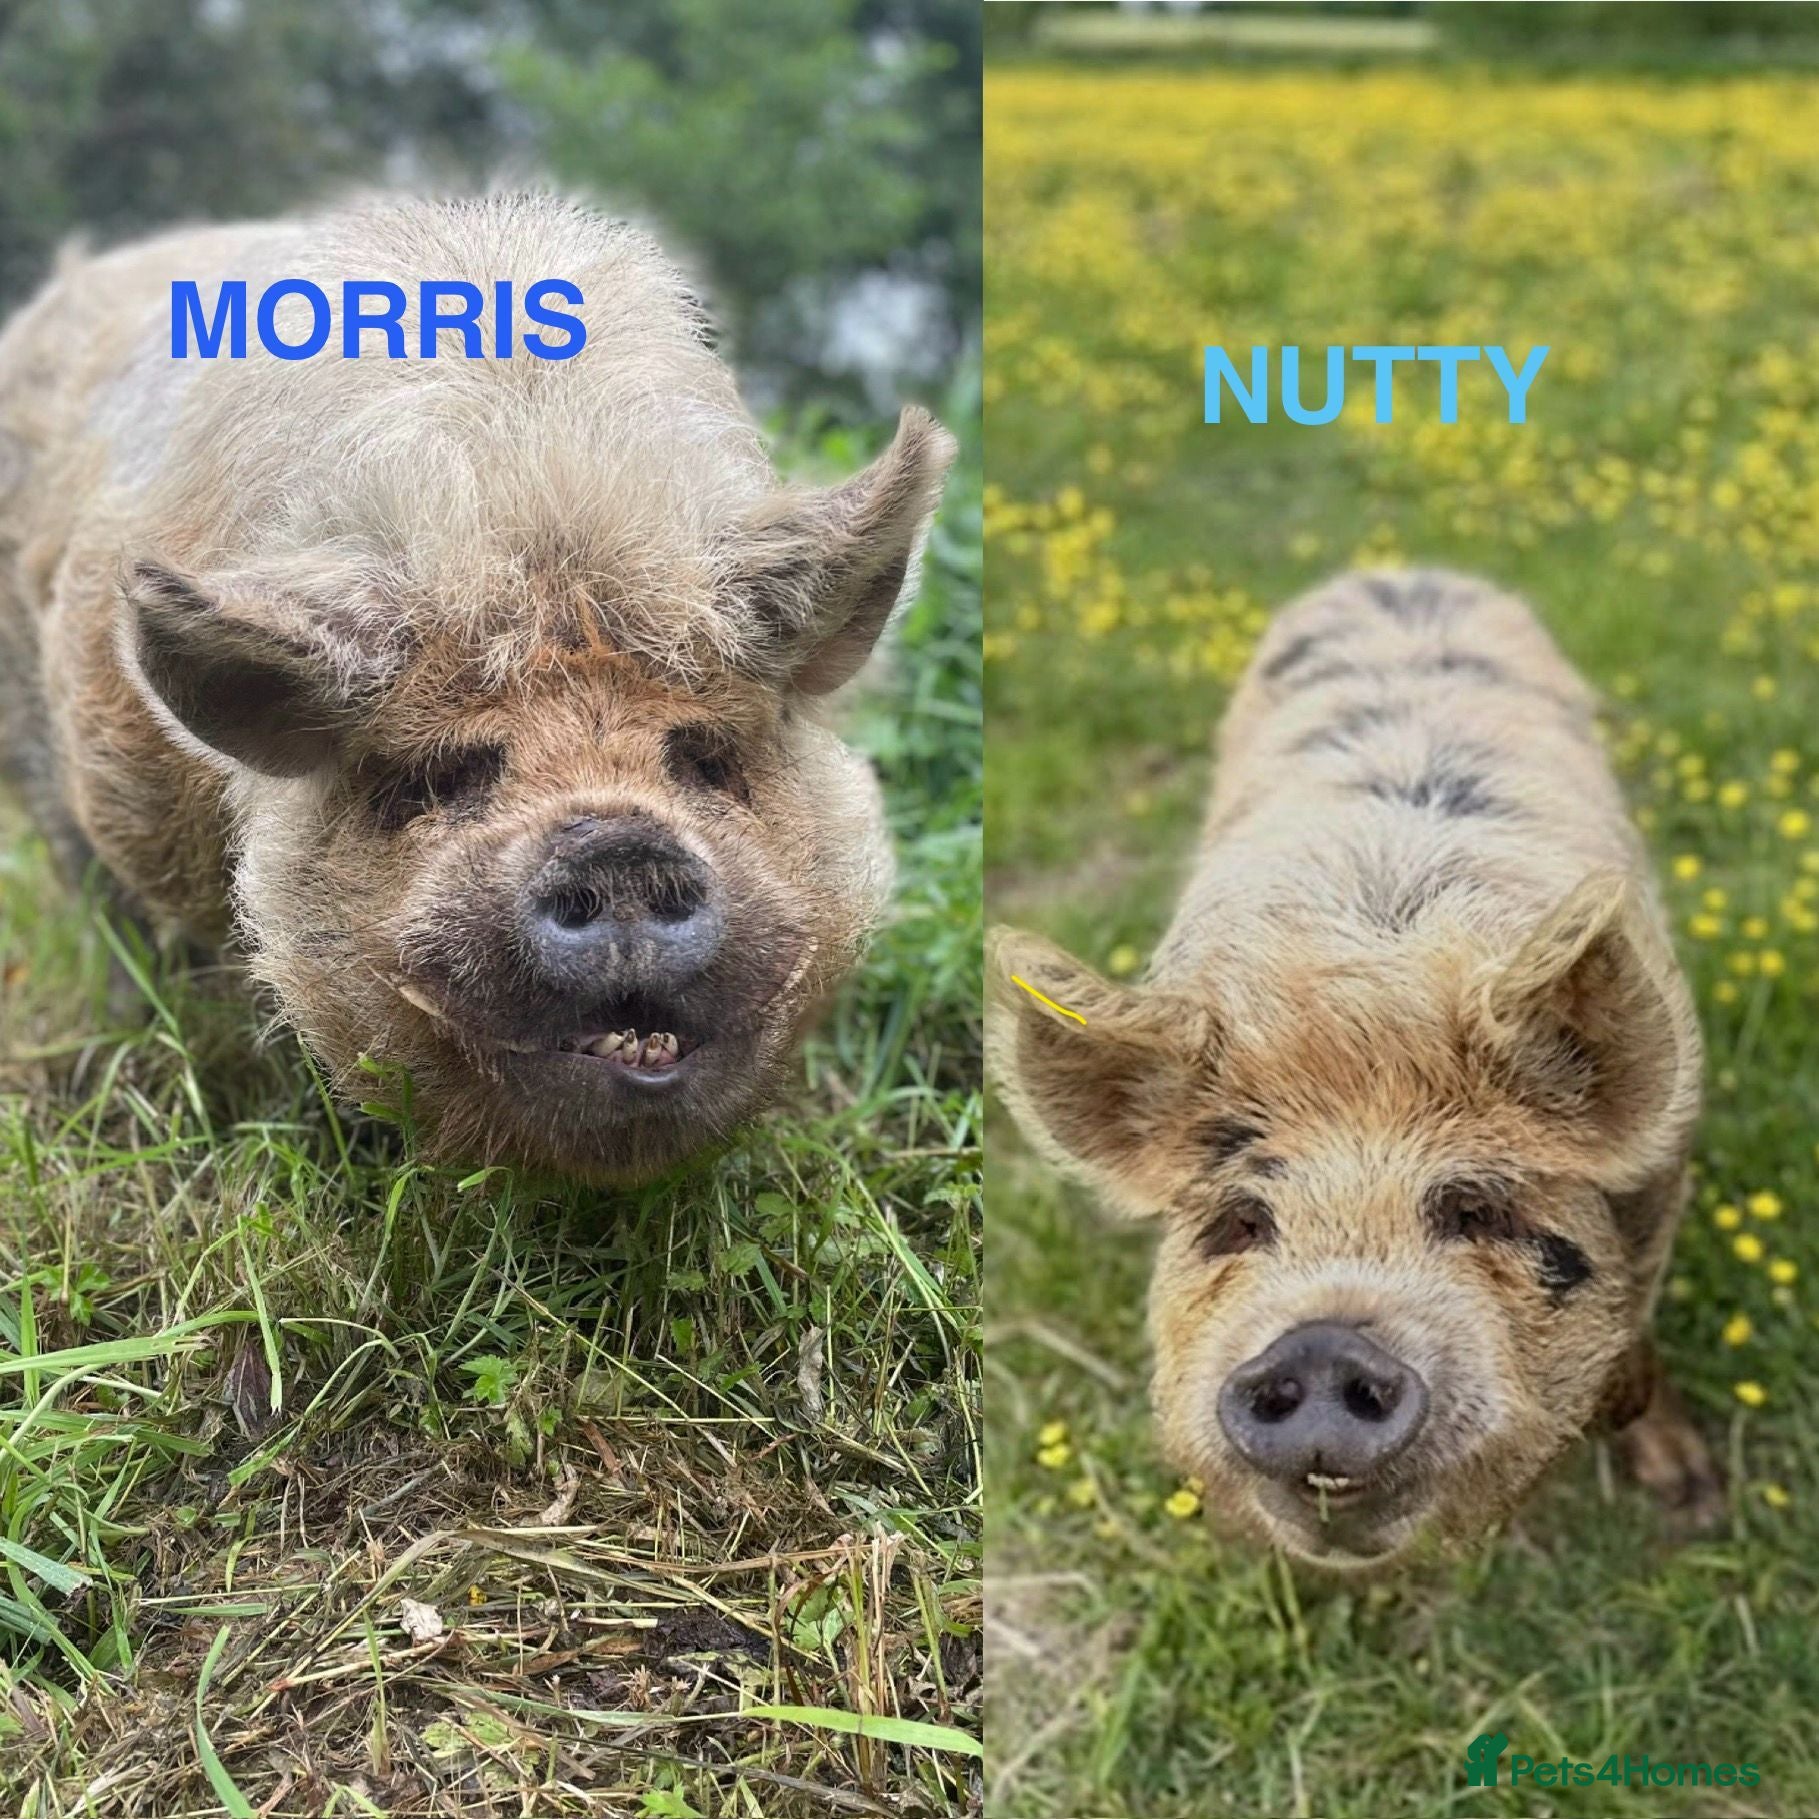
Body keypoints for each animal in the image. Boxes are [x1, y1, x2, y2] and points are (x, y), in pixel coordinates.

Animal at [990, 569, 1715, 1568]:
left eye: (1473, 1207)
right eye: (1241, 1222)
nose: (1320, 1344)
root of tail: (1401, 569)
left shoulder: (1662, 1170)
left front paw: (1688, 1498)